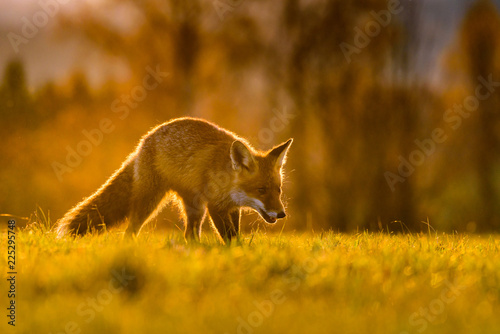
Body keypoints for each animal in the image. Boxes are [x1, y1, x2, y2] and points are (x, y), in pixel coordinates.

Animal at [56, 117, 292, 243]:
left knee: (190, 234)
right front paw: (236, 252)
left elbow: (235, 234)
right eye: (261, 190)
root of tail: (143, 142)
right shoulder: (216, 206)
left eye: (278, 190)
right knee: (131, 230)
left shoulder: (231, 208)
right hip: (151, 202)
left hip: (195, 208)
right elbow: (229, 237)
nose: (281, 214)